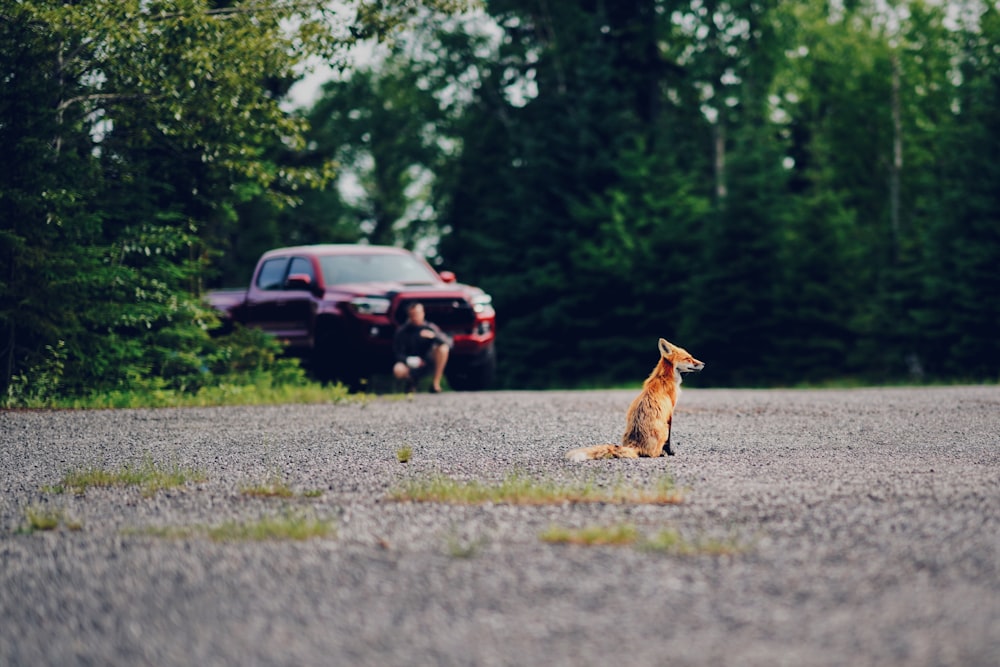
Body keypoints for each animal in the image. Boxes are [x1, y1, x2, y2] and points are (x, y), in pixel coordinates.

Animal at [572, 336, 704, 462]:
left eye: (691, 357)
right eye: (688, 359)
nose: (703, 364)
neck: (664, 378)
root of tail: (635, 444)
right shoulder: (670, 412)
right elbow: (669, 441)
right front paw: (670, 453)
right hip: (664, 430)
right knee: (653, 453)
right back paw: (661, 454)